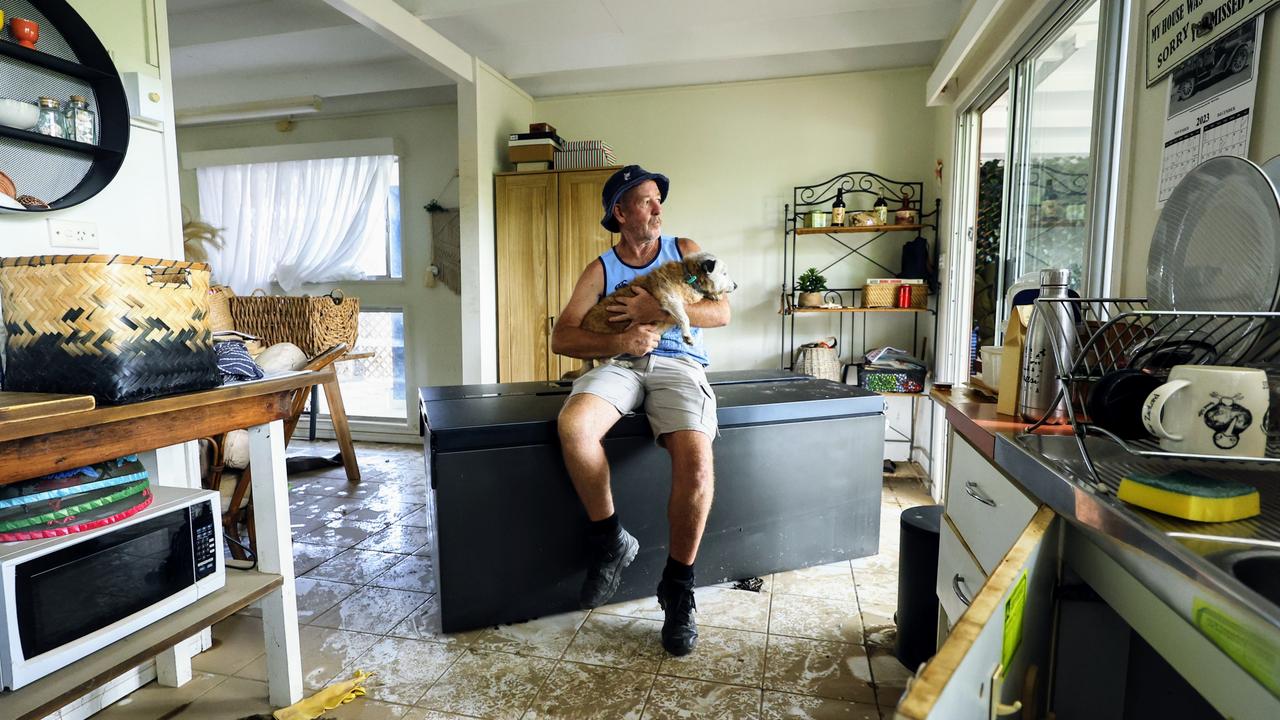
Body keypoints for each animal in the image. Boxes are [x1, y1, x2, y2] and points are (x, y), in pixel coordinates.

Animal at [583, 251, 742, 351]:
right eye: (724, 273)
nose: (736, 285)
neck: (690, 276)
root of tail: (584, 324)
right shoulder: (670, 299)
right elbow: (685, 318)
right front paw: (687, 336)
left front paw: (714, 296)